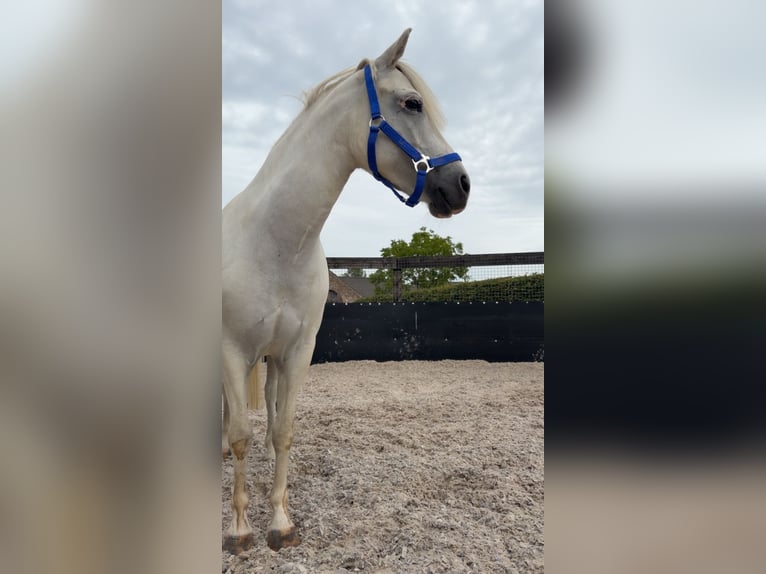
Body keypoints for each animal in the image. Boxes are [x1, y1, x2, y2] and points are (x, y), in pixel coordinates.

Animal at [221, 28, 470, 553]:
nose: (460, 185)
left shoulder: (297, 351)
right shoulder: (232, 350)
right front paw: (239, 530)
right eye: (413, 103)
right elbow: (239, 436)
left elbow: (283, 431)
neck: (275, 242)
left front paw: (280, 522)